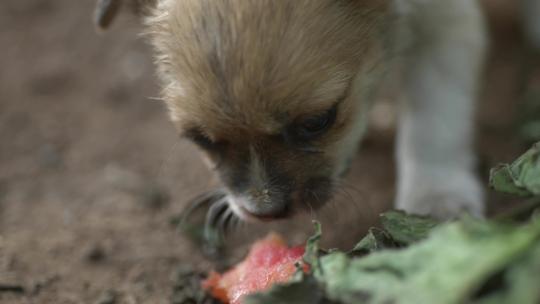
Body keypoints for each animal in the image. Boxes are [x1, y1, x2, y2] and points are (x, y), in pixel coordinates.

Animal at [94, 1, 536, 222]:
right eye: (199, 139)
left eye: (317, 122)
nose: (265, 213)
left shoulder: (444, 28)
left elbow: (434, 125)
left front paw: (436, 196)